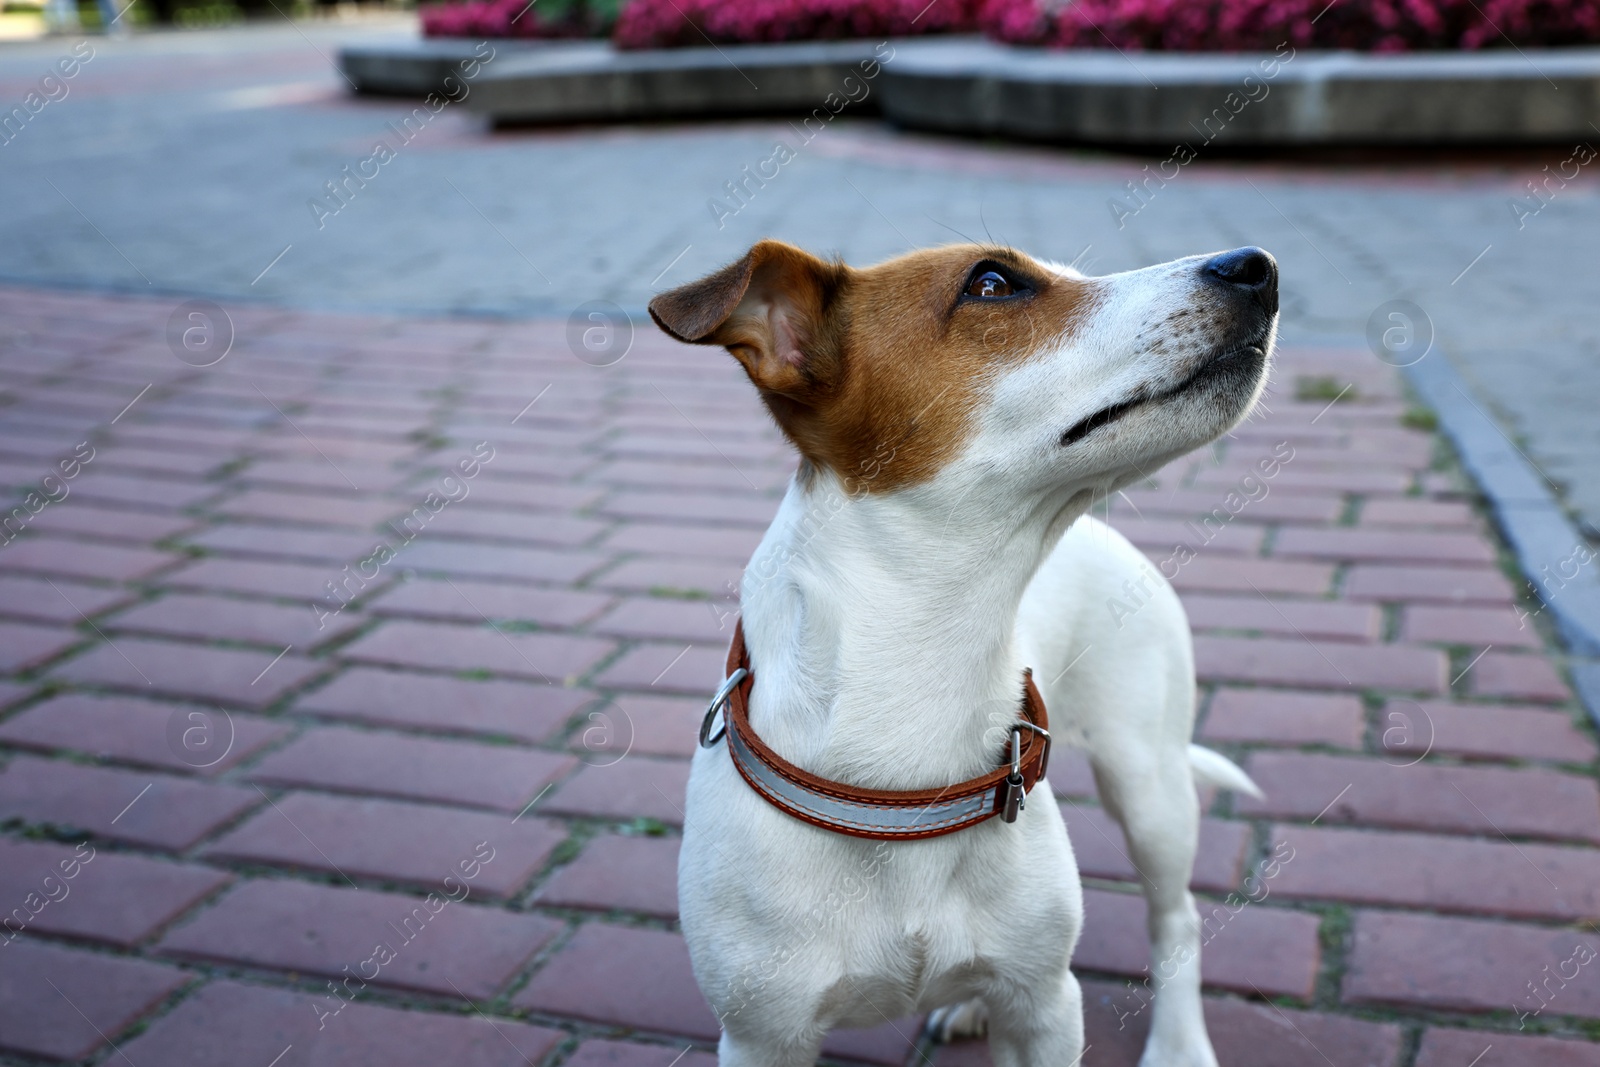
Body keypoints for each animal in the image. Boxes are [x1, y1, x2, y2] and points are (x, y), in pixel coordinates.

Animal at [643, 239, 1280, 1067]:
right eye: (992, 283)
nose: (1256, 264)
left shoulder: (1049, 1006)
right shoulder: (761, 1035)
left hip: (1149, 784)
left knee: (1175, 917)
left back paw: (1178, 1044)